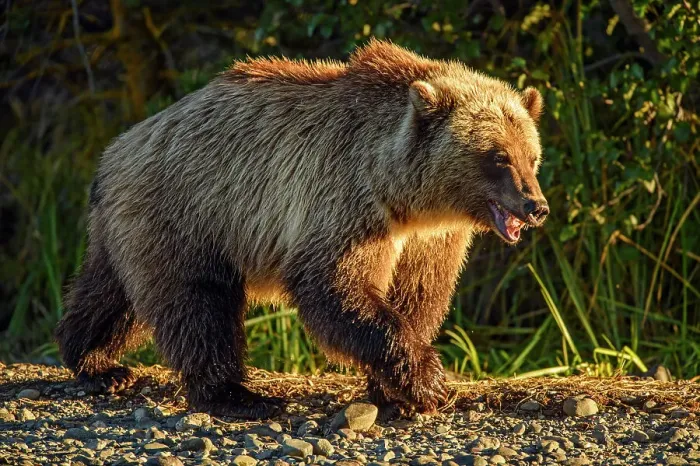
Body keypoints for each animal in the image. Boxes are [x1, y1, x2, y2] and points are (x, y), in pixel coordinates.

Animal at [55, 39, 549, 420]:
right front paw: (427, 381)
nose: (536, 206)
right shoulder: (346, 200)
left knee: (110, 295)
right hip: (187, 211)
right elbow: (334, 285)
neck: (411, 200)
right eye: (498, 157)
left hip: (132, 225)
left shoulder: (429, 240)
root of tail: (117, 148)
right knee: (197, 303)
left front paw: (397, 388)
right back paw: (238, 396)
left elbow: (419, 296)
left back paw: (94, 361)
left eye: (531, 156)